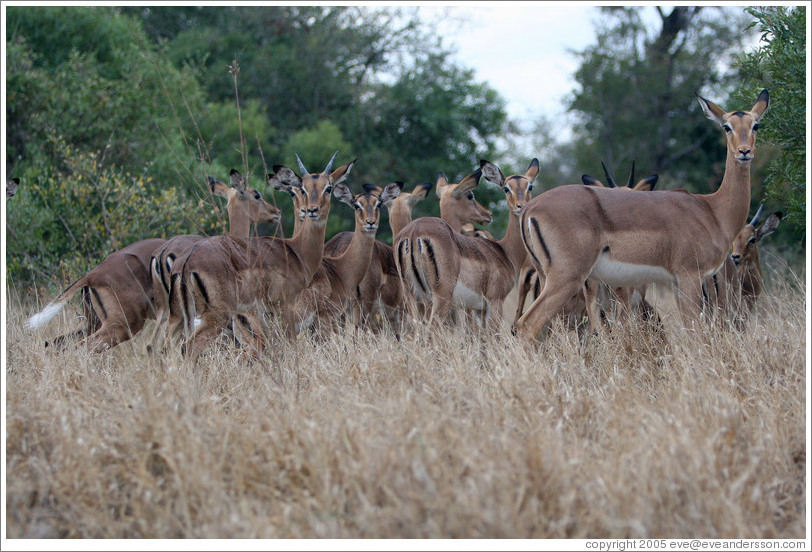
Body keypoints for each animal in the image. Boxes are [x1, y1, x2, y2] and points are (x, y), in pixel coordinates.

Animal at [512, 90, 768, 340]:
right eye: (727, 126)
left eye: (755, 125)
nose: (744, 152)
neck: (712, 210)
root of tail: (529, 209)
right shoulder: (689, 276)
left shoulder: (677, 282)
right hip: (567, 278)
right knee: (527, 325)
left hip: (548, 277)